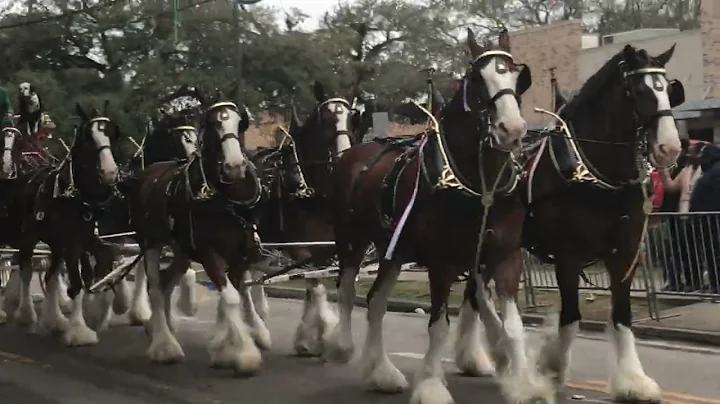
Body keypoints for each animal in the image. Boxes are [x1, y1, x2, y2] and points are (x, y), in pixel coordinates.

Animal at [129, 84, 264, 372]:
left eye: (240, 121)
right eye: (212, 123)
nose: (235, 167)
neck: (227, 199)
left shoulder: (240, 254)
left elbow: (232, 296)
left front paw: (224, 348)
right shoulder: (208, 252)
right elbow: (231, 298)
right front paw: (244, 354)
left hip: (181, 250)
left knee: (167, 281)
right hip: (150, 242)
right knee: (155, 286)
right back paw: (164, 345)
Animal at [246, 80, 356, 356]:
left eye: (352, 119)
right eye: (326, 119)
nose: (344, 156)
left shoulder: (326, 249)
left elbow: (315, 285)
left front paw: (310, 338)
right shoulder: (300, 249)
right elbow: (316, 287)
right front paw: (321, 332)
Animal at [320, 29, 544, 404]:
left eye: (516, 76)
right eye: (476, 79)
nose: (511, 129)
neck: (479, 184)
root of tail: (351, 153)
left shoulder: (505, 256)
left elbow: (512, 326)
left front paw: (523, 384)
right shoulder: (442, 263)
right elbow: (438, 327)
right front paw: (431, 386)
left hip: (392, 250)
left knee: (375, 301)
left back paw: (382, 372)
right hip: (351, 240)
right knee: (349, 291)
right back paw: (344, 346)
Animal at [516, 44, 680, 400]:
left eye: (668, 89)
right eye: (638, 91)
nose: (670, 148)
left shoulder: (625, 253)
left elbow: (622, 315)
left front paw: (633, 380)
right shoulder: (567, 256)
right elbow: (570, 317)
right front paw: (553, 367)